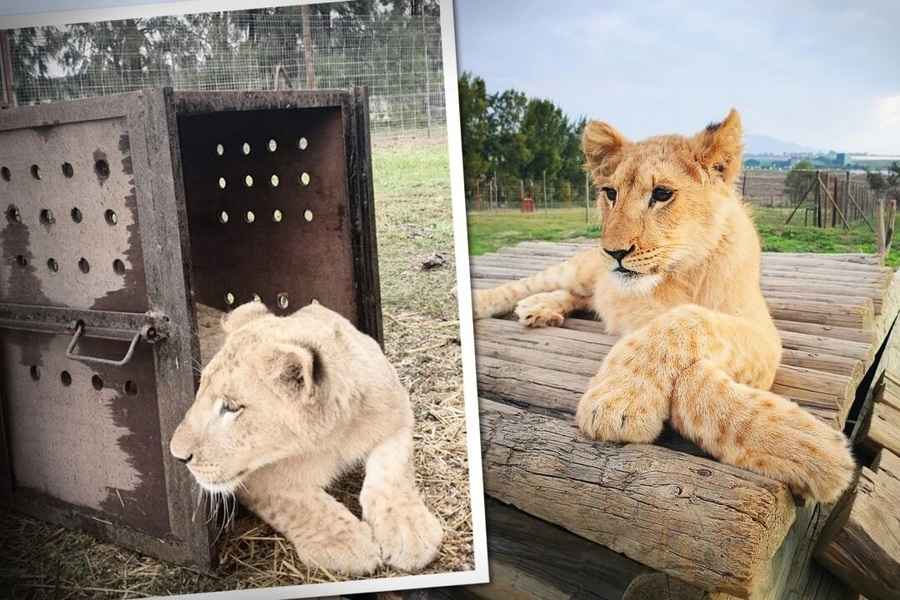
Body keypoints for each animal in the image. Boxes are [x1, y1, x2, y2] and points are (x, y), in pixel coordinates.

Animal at [169, 302, 442, 576]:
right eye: (199, 390)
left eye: (231, 407)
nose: (177, 455)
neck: (335, 436)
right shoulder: (255, 478)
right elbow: (296, 503)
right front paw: (345, 542)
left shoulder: (398, 416)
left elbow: (392, 472)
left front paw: (409, 531)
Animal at [474, 110, 856, 504]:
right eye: (610, 193)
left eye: (661, 194)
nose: (613, 252)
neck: (689, 270)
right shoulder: (640, 317)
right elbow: (685, 356)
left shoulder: (763, 336)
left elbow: (688, 322)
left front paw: (809, 450)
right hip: (578, 269)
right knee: (532, 283)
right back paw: (487, 301)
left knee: (577, 296)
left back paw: (539, 309)